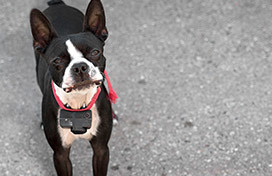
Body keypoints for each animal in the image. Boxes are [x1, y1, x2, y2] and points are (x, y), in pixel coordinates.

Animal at [29, 0, 116, 175]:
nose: (79, 67)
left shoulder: (101, 149)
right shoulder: (60, 154)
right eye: (57, 60)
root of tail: (58, 4)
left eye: (95, 52)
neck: (78, 102)